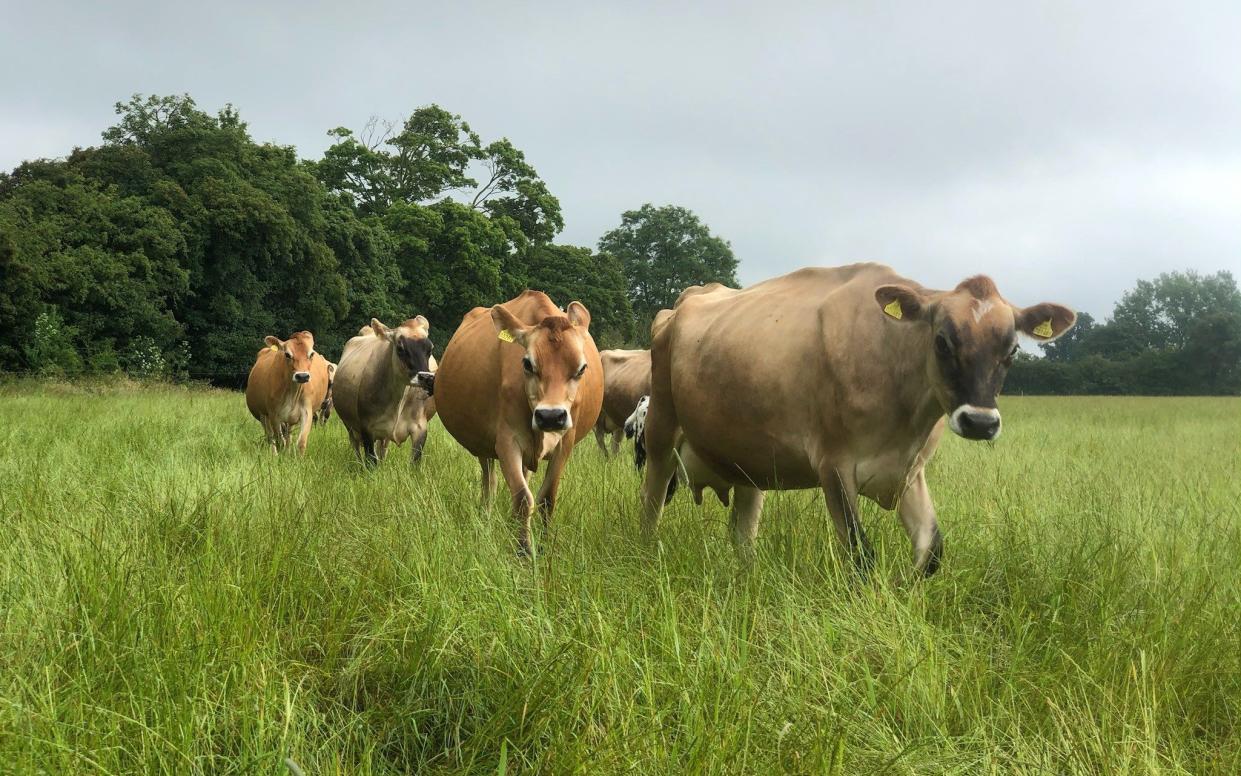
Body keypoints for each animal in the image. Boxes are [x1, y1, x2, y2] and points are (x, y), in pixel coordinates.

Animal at [335, 316, 436, 466]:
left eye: (430, 349)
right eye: (400, 348)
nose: (426, 378)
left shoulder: (420, 427)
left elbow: (415, 462)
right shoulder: (366, 428)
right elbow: (371, 460)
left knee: (382, 448)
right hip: (350, 426)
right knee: (356, 448)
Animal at [436, 288, 605, 553]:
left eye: (581, 368)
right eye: (527, 363)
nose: (550, 416)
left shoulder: (565, 442)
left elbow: (547, 498)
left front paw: (544, 544)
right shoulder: (507, 441)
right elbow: (524, 498)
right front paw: (523, 550)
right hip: (483, 445)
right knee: (490, 482)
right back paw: (486, 518)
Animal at [640, 264, 1077, 576]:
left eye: (1012, 349)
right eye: (942, 341)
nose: (980, 423)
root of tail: (690, 296)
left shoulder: (910, 472)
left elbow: (931, 552)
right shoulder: (834, 465)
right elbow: (860, 555)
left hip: (749, 458)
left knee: (742, 533)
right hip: (660, 429)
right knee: (651, 505)